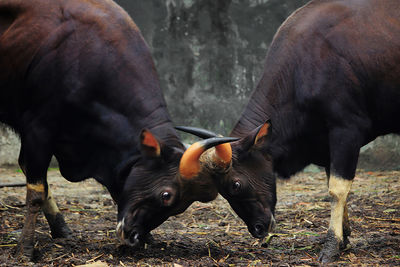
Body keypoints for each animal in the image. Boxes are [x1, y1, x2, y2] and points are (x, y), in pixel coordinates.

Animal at [0, 0, 238, 260]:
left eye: (180, 207)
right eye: (166, 195)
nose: (132, 235)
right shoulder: (38, 129)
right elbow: (35, 191)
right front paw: (25, 247)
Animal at [177, 0, 400, 264]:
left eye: (235, 185)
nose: (257, 229)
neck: (301, 68)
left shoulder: (346, 130)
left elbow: (336, 189)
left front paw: (331, 245)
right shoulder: (326, 143)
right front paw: (344, 237)